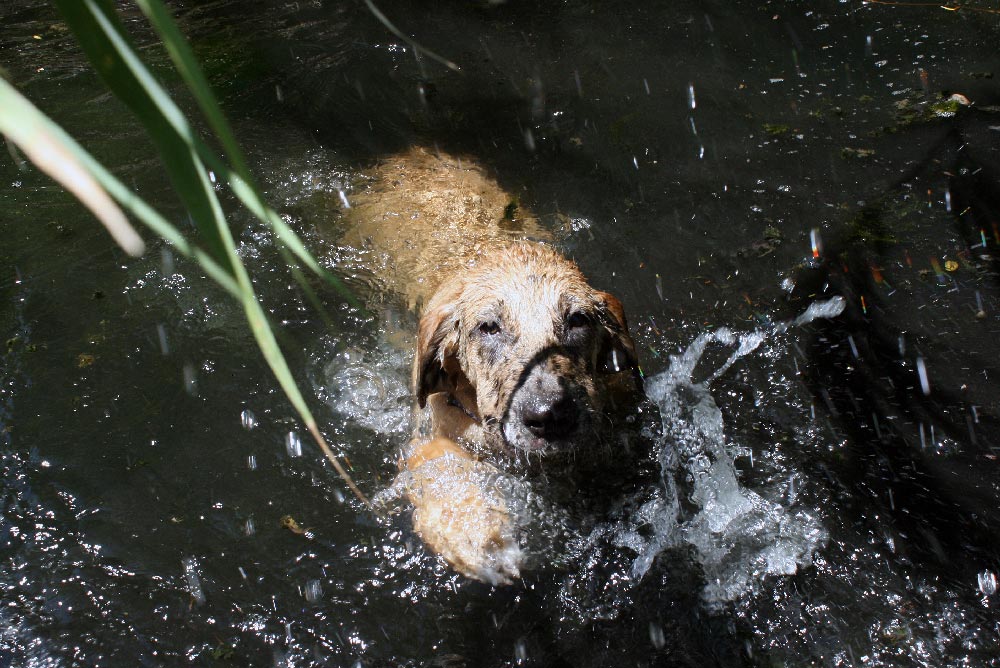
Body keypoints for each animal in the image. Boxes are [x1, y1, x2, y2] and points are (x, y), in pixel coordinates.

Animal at [348, 147, 648, 584]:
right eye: (488, 327)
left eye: (578, 320)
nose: (549, 415)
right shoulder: (427, 430)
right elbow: (438, 461)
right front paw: (477, 533)